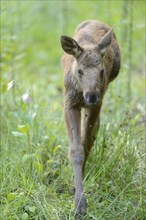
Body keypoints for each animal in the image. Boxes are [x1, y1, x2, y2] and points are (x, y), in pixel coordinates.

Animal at [60, 20, 120, 218]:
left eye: (101, 71)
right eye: (80, 71)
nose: (91, 96)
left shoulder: (96, 104)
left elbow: (85, 143)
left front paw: (80, 201)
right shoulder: (69, 102)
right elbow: (76, 149)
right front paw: (79, 204)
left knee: (93, 132)